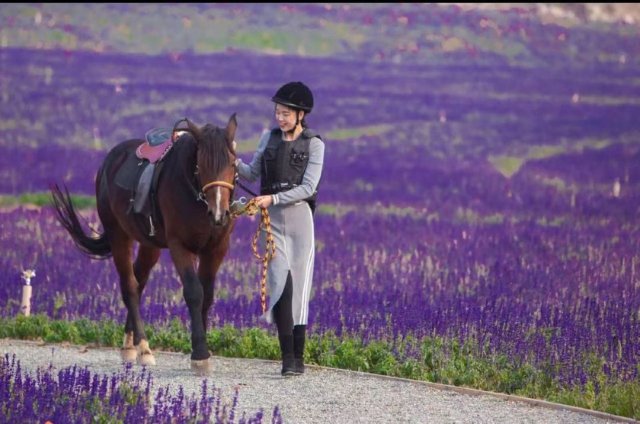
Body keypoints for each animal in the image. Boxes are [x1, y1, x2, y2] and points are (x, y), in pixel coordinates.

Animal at [50, 113, 240, 372]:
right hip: (119, 235)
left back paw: (129, 346)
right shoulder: (179, 246)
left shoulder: (216, 248)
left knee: (139, 282)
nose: (219, 214)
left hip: (149, 245)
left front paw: (200, 350)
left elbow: (207, 295)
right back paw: (143, 348)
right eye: (201, 164)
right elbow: (194, 292)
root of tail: (110, 160)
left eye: (231, 163)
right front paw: (200, 353)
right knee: (130, 286)